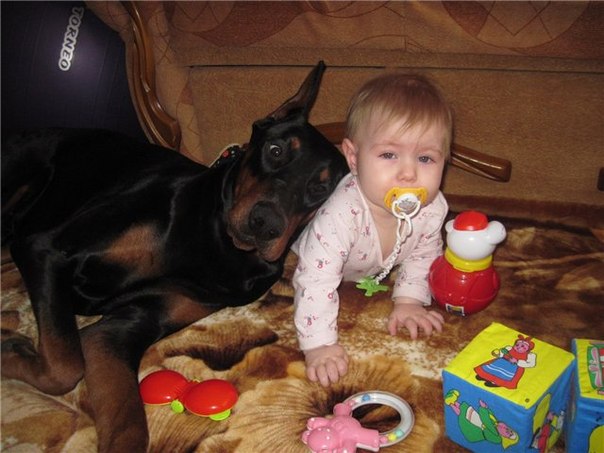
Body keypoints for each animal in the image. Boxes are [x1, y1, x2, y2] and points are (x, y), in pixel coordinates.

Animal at [0, 61, 346, 450]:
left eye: (320, 187)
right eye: (275, 150)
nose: (265, 224)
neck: (216, 244)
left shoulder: (120, 331)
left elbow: (120, 416)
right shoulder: (46, 250)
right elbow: (63, 364)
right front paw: (9, 349)